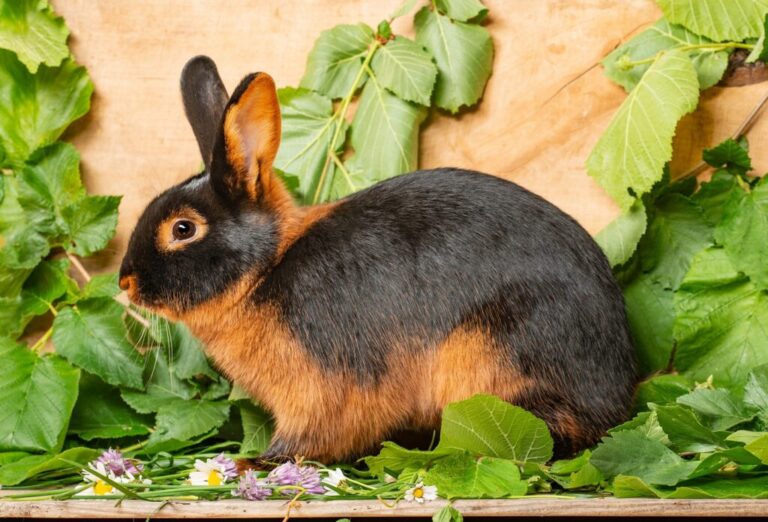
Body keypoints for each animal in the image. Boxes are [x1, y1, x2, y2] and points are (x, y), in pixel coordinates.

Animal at [120, 54, 636, 460]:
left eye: (183, 229)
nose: (125, 283)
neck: (265, 270)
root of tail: (617, 392)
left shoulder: (324, 386)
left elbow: (313, 435)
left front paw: (259, 464)